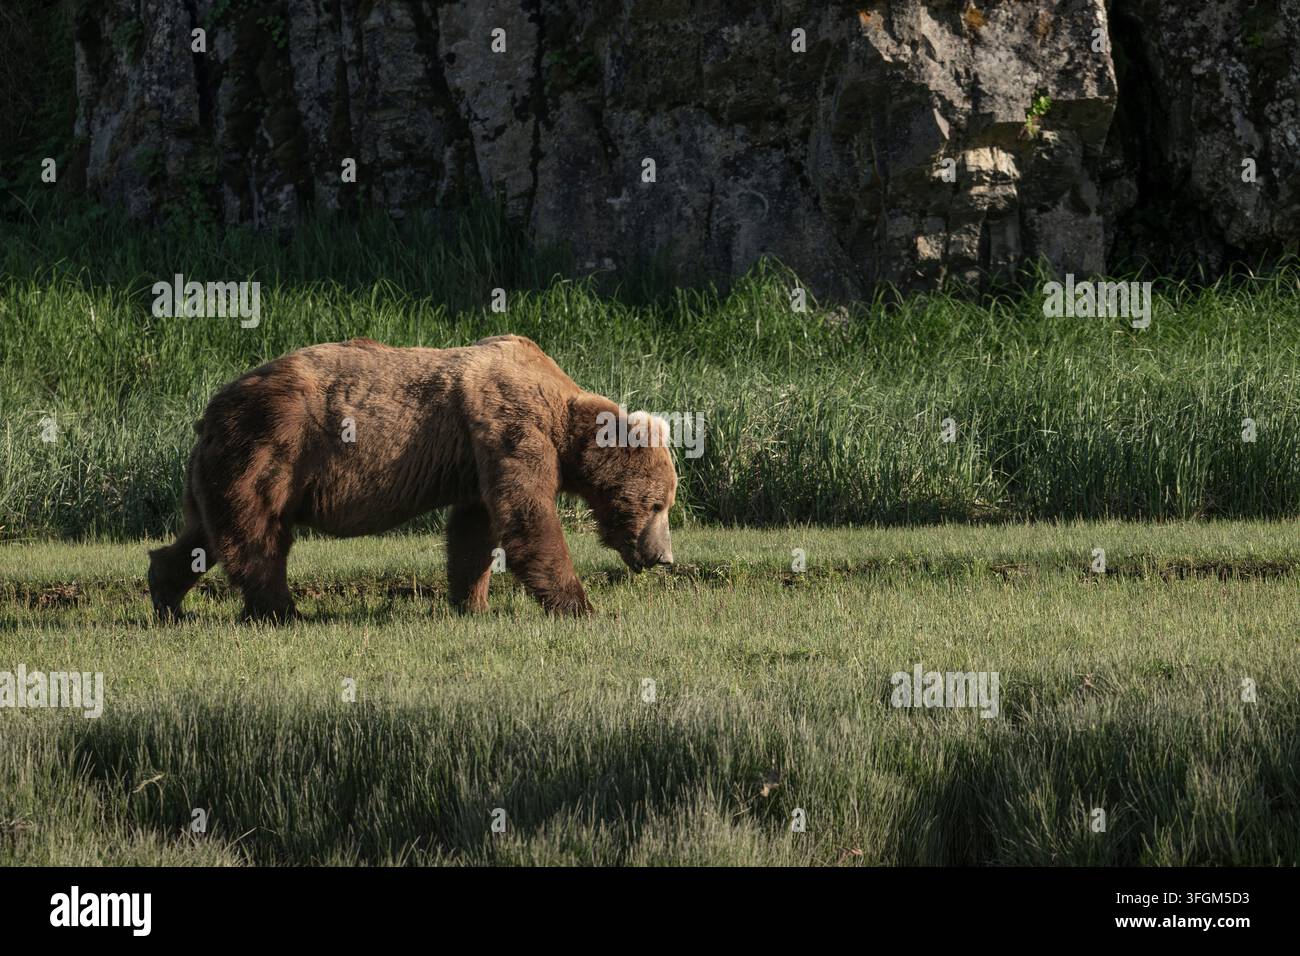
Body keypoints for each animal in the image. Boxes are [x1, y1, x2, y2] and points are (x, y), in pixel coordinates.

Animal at [147, 335, 676, 621]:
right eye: (657, 504)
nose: (665, 557)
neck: (561, 417)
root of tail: (210, 409)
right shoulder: (511, 425)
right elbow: (528, 517)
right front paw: (580, 605)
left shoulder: (476, 457)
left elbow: (474, 530)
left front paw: (472, 601)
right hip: (272, 445)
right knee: (258, 535)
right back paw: (282, 611)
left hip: (225, 463)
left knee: (204, 535)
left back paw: (167, 595)